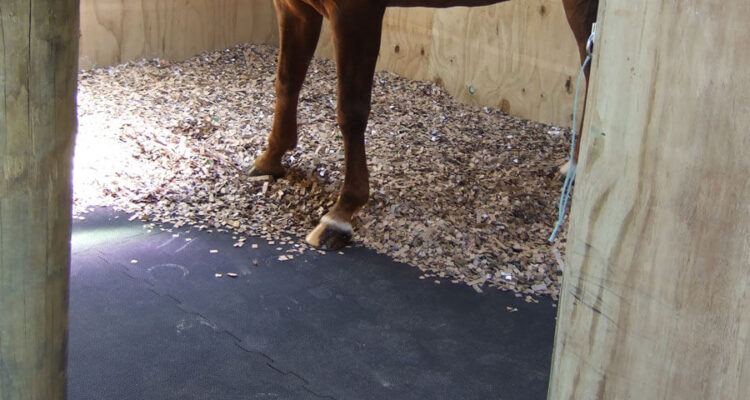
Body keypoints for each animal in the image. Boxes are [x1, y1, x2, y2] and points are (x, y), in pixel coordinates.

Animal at [251, 0, 600, 248]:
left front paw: (342, 212)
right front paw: (271, 157)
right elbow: (287, 81)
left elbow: (351, 111)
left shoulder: (355, 12)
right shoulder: (294, 7)